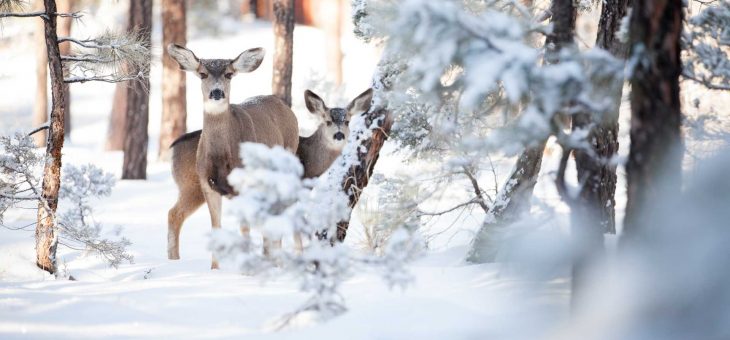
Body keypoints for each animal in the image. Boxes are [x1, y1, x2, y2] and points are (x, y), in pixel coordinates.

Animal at [166, 44, 298, 268]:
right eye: (203, 74)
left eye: (228, 74)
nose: (217, 92)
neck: (221, 158)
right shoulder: (206, 183)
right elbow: (216, 227)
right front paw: (215, 269)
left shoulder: (243, 184)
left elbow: (244, 227)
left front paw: (246, 268)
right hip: (192, 186)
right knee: (174, 214)